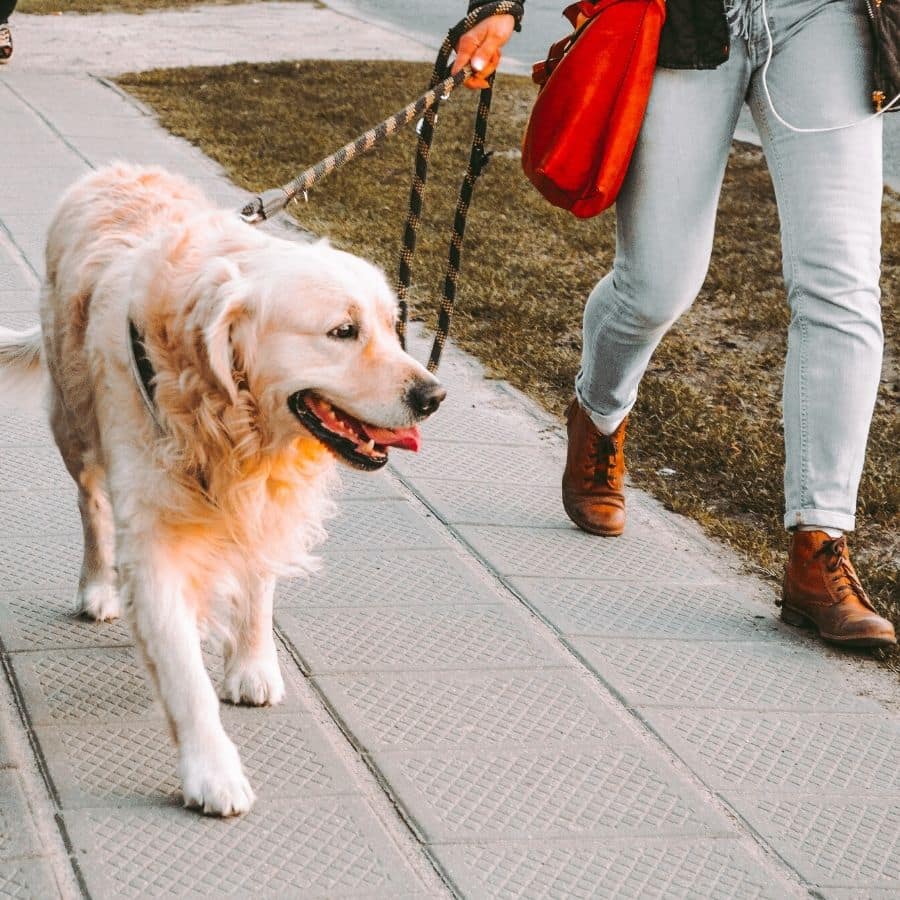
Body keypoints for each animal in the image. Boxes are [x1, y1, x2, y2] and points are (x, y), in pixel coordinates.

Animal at [0, 163, 444, 816]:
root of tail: (112, 170)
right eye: (343, 331)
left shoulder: (263, 502)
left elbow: (258, 584)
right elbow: (185, 675)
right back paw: (98, 586)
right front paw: (211, 771)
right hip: (74, 423)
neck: (231, 420)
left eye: (393, 328)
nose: (433, 396)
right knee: (91, 503)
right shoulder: (154, 542)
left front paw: (252, 664)